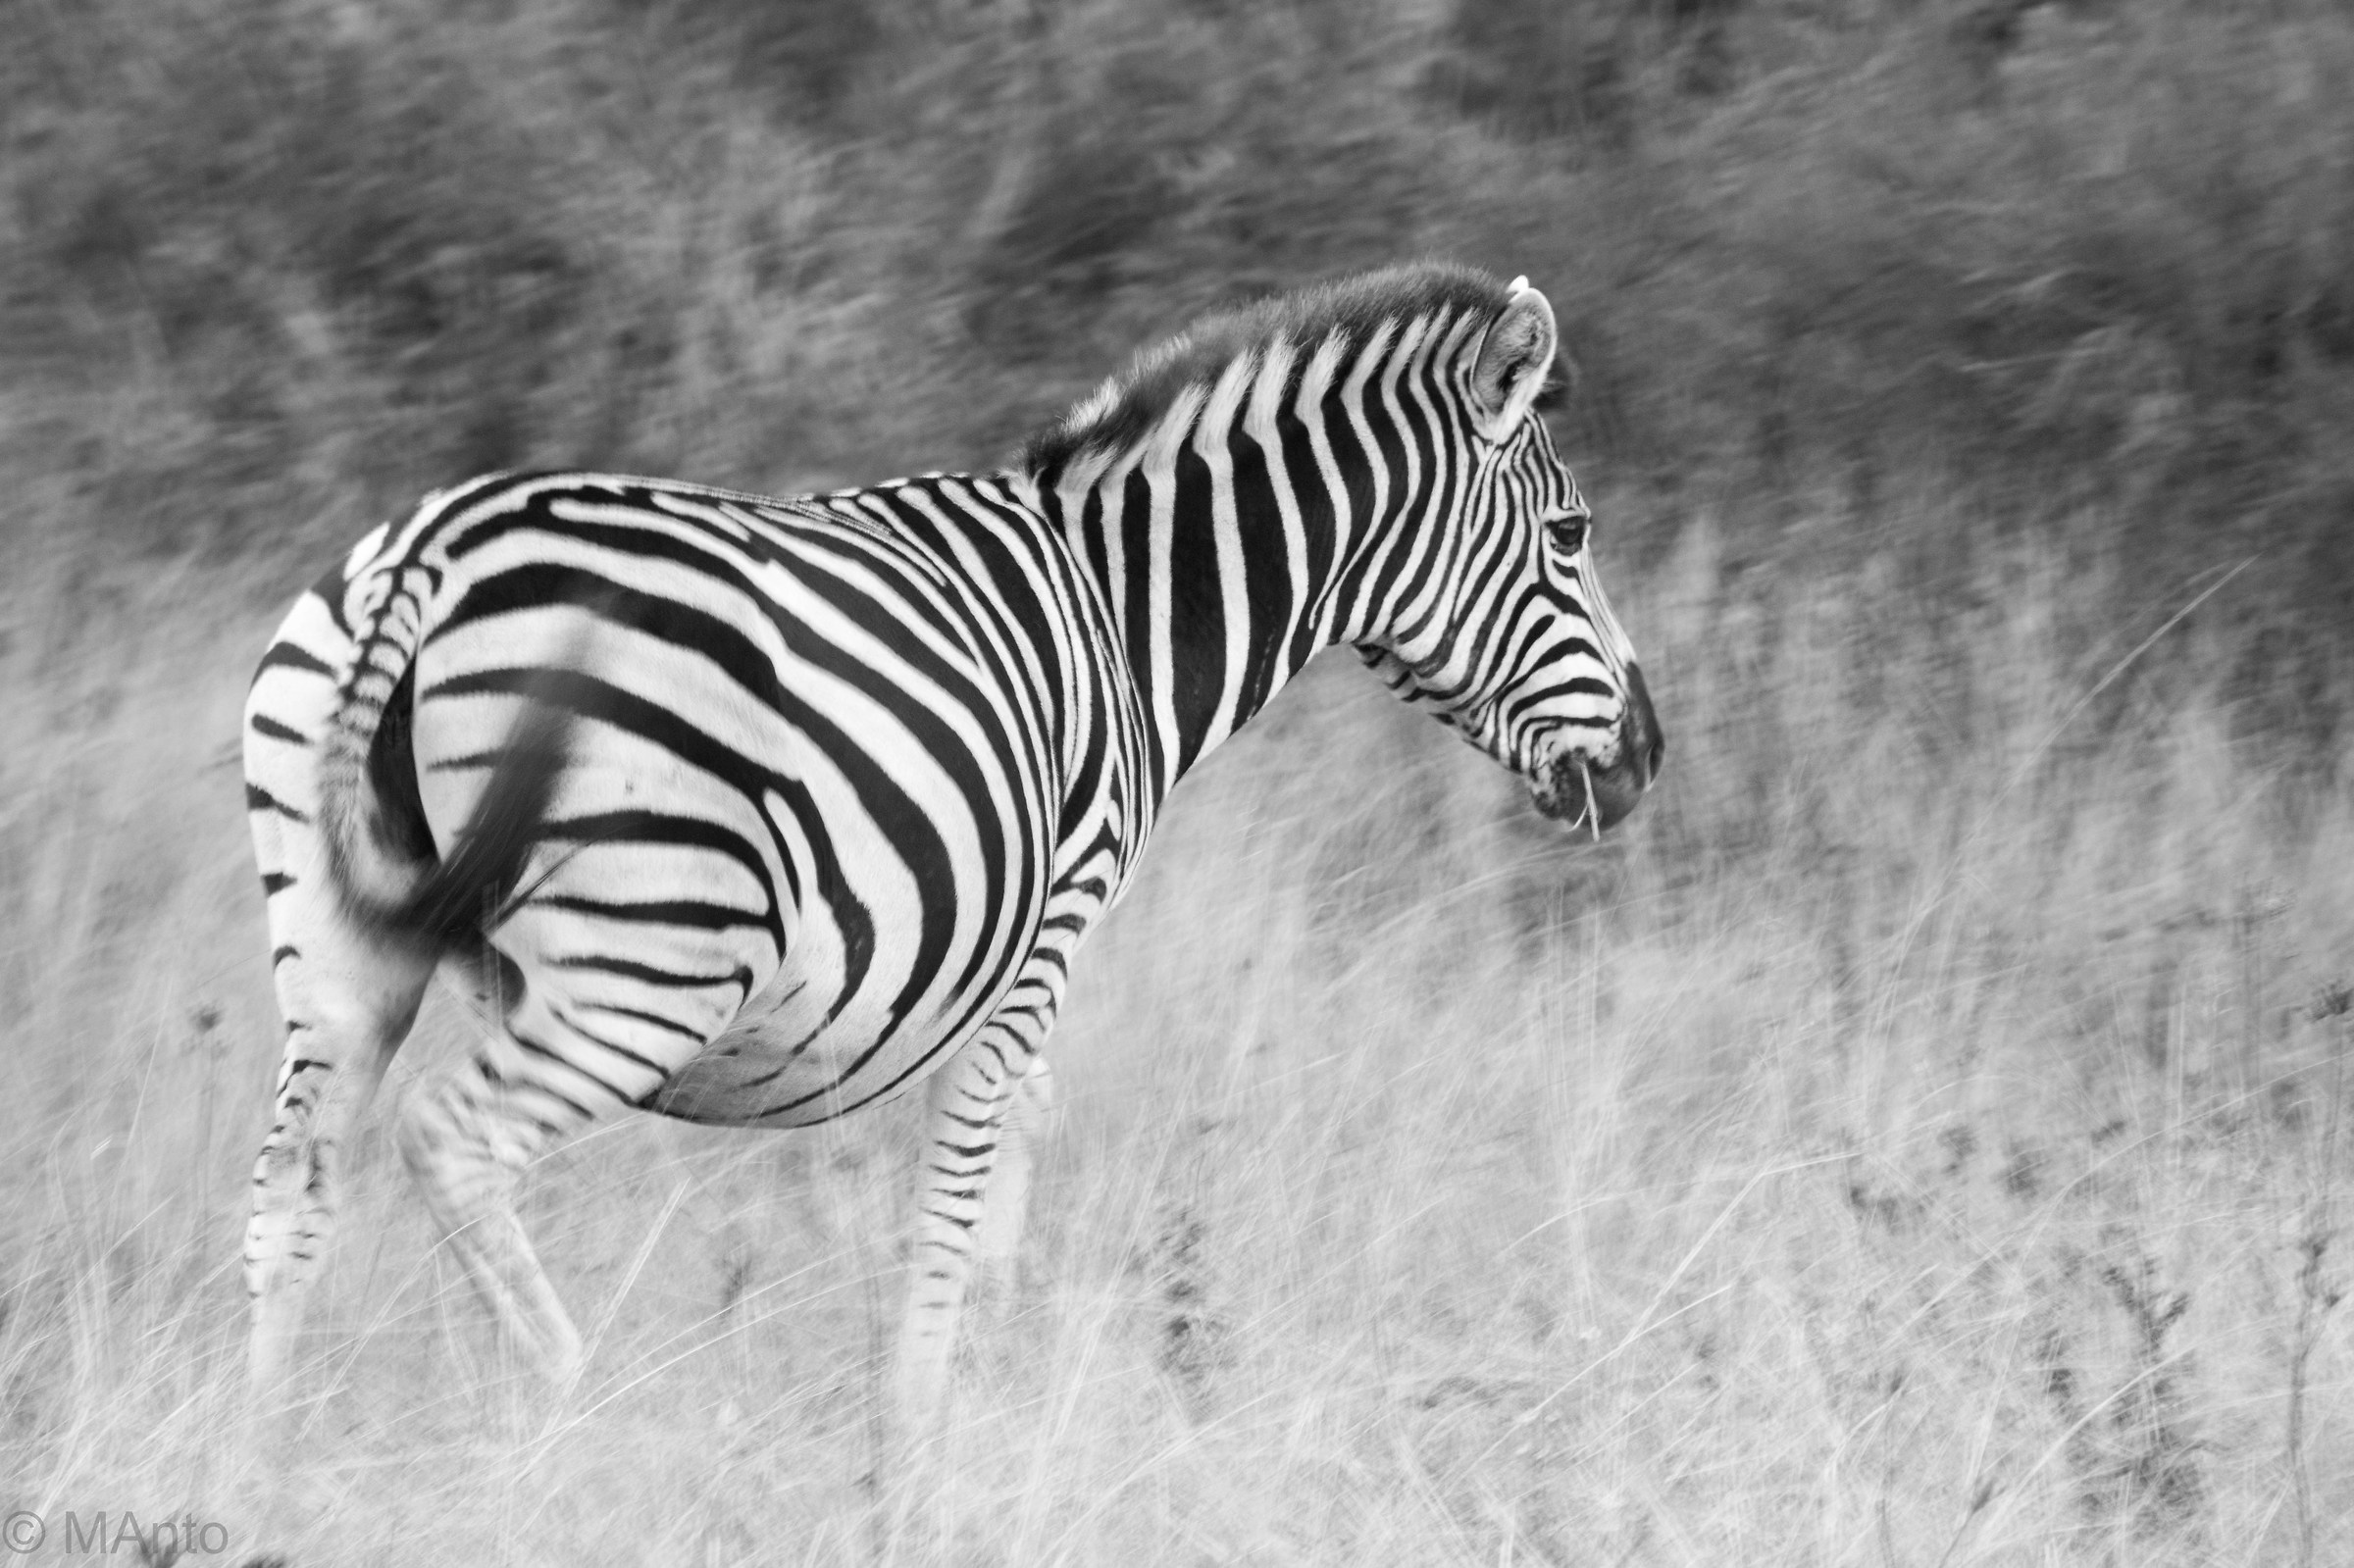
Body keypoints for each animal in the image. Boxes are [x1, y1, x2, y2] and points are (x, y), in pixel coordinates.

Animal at [240, 262, 1663, 1425]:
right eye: (1573, 534)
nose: (1648, 755)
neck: (1128, 613)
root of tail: (436, 543)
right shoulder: (1055, 919)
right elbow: (967, 1166)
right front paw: (921, 1426)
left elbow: (1014, 1147)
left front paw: (1000, 1373)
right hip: (653, 953)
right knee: (451, 1137)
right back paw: (573, 1402)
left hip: (337, 941)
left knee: (288, 1189)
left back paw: (258, 1445)